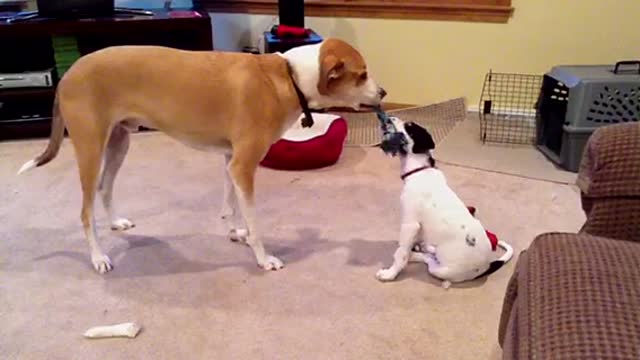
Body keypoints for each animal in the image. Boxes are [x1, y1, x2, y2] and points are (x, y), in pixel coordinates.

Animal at [17, 38, 384, 272]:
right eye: (362, 74)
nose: (383, 92)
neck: (288, 75)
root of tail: (68, 73)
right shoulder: (243, 165)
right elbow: (254, 220)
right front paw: (262, 258)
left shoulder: (230, 161)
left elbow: (230, 206)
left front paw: (236, 232)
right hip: (91, 148)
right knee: (85, 210)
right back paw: (98, 258)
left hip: (119, 141)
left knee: (105, 188)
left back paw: (116, 223)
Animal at [376, 119, 516, 290]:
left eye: (409, 127)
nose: (388, 119)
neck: (418, 171)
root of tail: (487, 266)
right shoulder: (418, 226)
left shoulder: (410, 224)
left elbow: (401, 253)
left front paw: (390, 274)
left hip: (440, 270)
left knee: (429, 261)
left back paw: (415, 254)